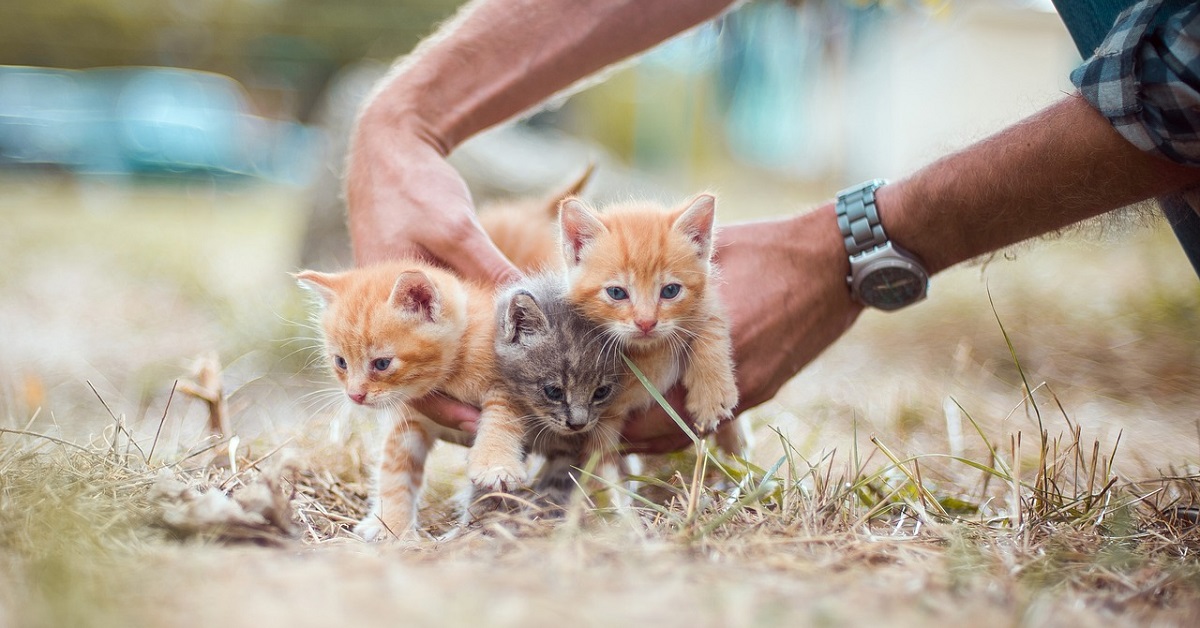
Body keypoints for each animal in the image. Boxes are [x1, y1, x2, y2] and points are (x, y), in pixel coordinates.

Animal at [295, 261, 525, 540]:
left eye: (382, 364)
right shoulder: (410, 420)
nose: (355, 395)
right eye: (341, 362)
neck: (450, 376)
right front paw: (391, 526)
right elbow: (395, 472)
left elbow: (503, 415)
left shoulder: (519, 380)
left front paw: (495, 463)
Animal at [559, 195, 739, 451]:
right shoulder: (602, 419)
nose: (646, 322)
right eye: (616, 292)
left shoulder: (708, 304)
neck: (648, 354)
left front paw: (711, 394)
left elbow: (711, 328)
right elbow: (599, 455)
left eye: (670, 290)